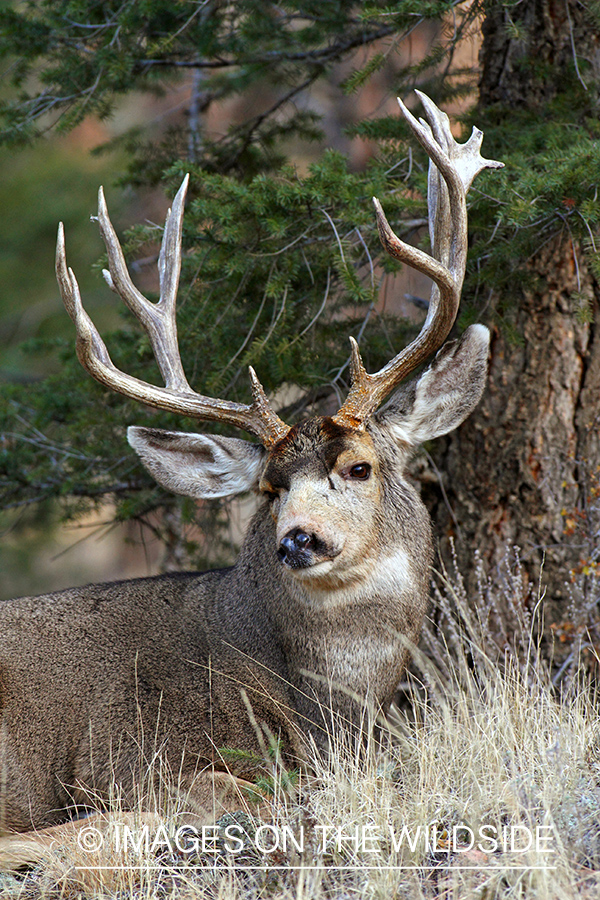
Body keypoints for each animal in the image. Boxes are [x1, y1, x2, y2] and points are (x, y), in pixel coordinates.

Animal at [0, 93, 502, 865]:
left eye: (359, 466)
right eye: (269, 489)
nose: (299, 538)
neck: (327, 714)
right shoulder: (129, 756)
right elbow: (258, 797)